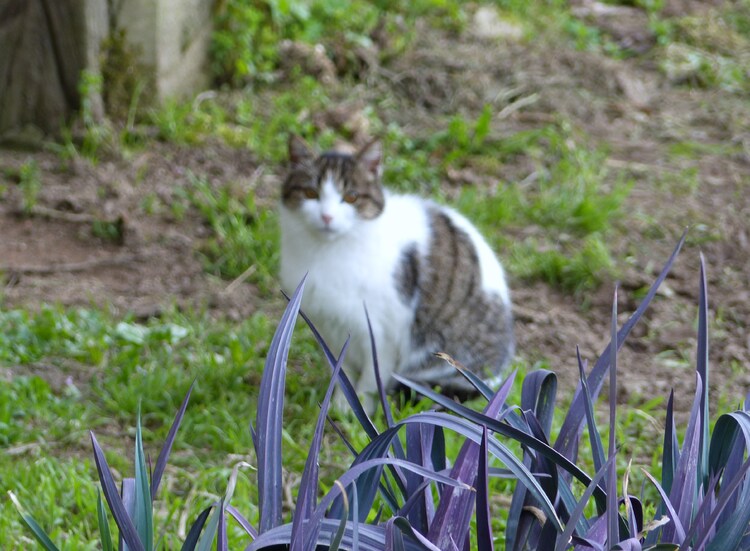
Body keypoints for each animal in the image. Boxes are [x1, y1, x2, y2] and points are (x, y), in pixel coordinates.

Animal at [280, 136, 516, 412]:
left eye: (351, 197)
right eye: (311, 194)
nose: (327, 217)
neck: (327, 252)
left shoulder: (383, 334)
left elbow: (372, 379)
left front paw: (359, 410)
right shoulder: (329, 327)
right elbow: (342, 372)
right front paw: (340, 406)